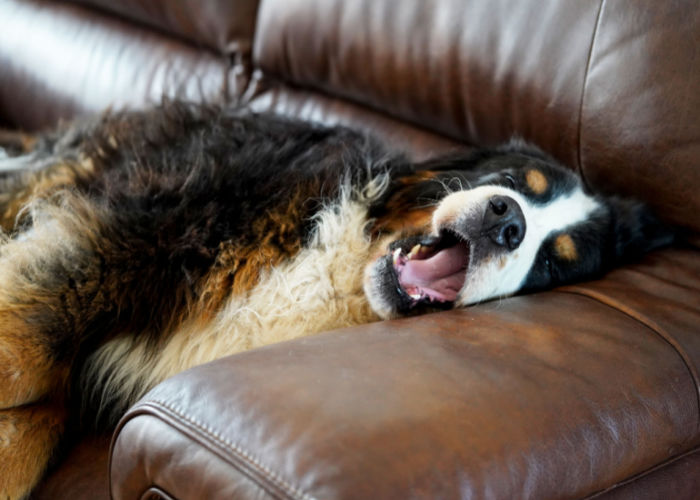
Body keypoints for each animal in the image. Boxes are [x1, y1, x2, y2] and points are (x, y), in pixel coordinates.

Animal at [0, 102, 672, 500]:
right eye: (513, 182)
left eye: (554, 262)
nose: (506, 222)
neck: (343, 267)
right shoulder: (143, 228)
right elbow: (28, 349)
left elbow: (34, 411)